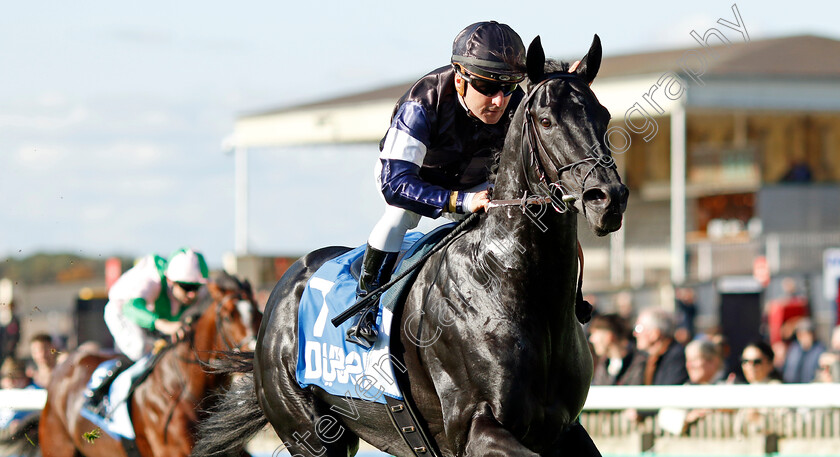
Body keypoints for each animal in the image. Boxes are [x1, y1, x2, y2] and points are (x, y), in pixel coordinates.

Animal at [194, 35, 628, 456]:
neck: (510, 284)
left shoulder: (563, 429)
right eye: (546, 120)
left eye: (604, 116)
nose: (607, 198)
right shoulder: (475, 427)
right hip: (309, 433)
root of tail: (282, 290)